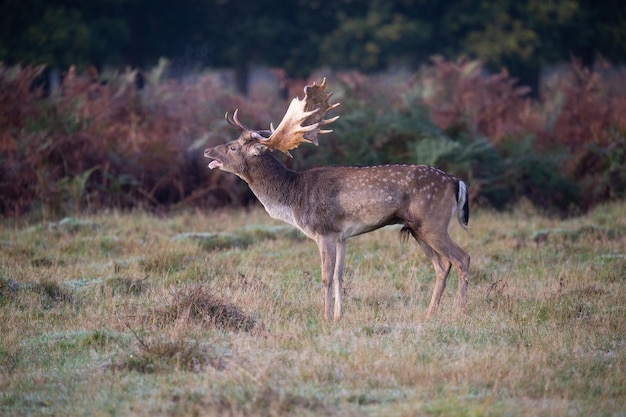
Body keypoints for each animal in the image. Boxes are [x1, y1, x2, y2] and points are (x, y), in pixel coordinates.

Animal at [205, 78, 468, 320]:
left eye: (233, 147)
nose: (207, 150)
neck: (293, 196)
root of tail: (457, 182)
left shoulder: (324, 231)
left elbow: (326, 277)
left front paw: (326, 317)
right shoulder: (342, 236)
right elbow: (340, 275)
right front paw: (339, 316)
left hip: (433, 222)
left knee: (461, 258)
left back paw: (460, 314)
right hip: (417, 228)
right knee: (442, 265)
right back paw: (429, 314)